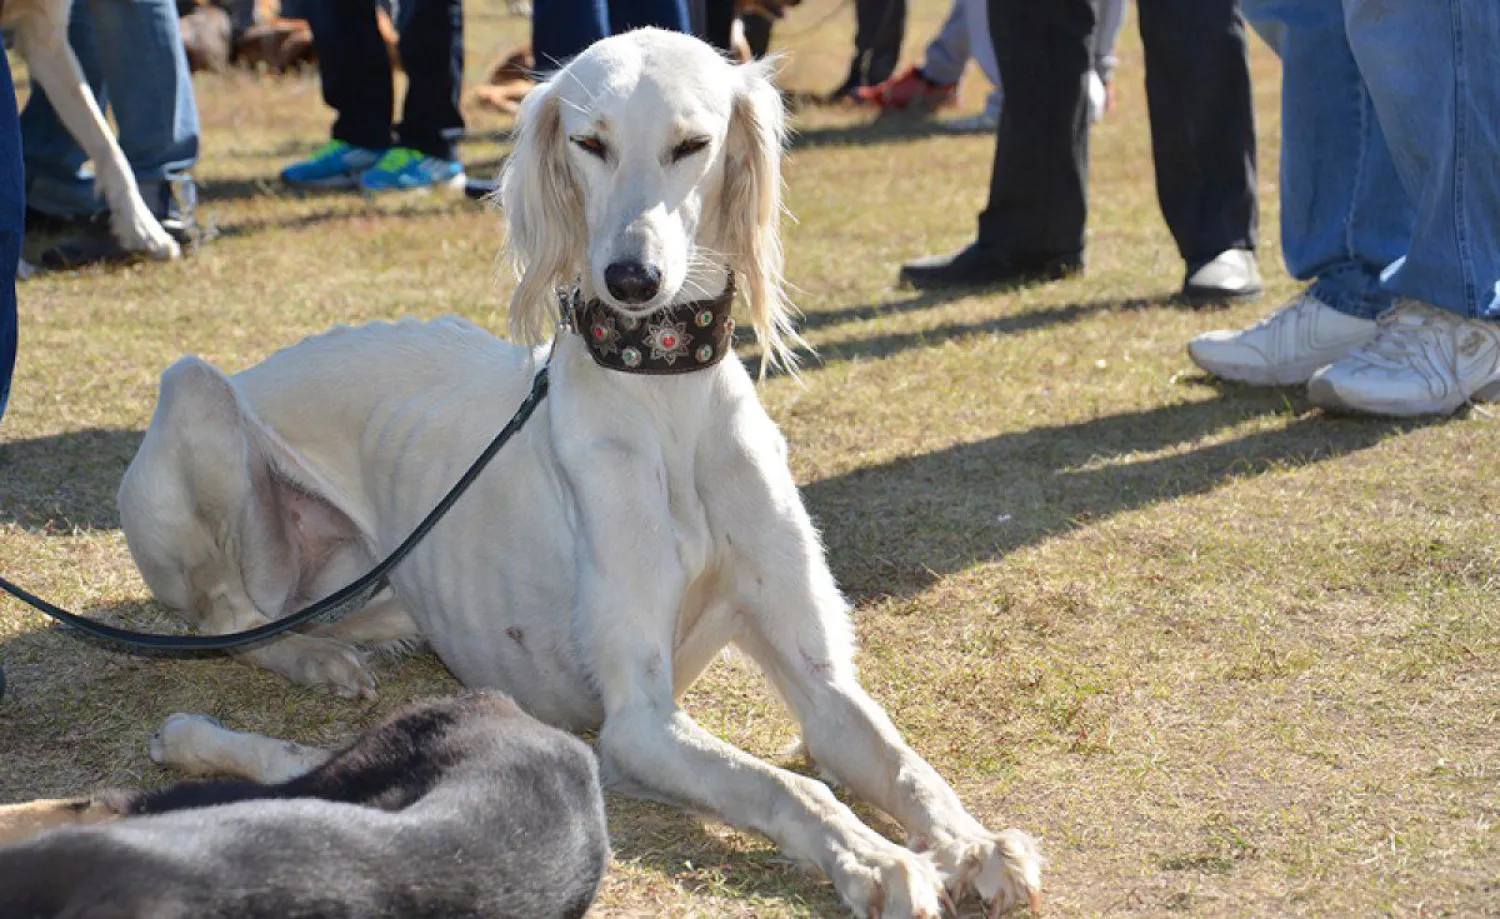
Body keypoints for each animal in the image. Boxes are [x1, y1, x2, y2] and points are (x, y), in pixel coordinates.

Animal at [120, 28, 1044, 917]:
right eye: (590, 141)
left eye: (692, 144)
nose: (632, 280)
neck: (664, 390)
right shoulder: (637, 722)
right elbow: (789, 786)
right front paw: (878, 860)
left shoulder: (822, 682)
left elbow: (900, 759)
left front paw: (977, 843)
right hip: (198, 395)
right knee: (230, 621)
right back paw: (289, 677)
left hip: (380, 589)